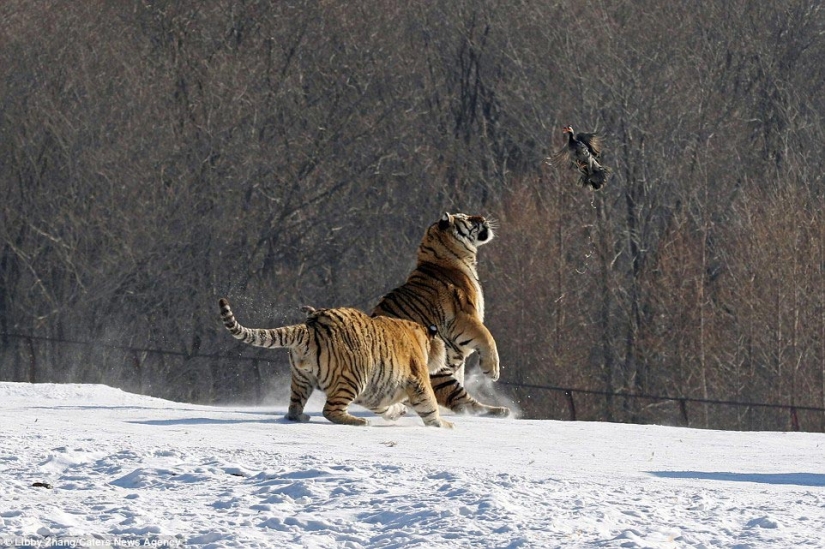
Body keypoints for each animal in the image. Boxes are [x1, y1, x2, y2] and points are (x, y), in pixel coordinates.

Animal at [218, 298, 453, 428]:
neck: (422, 338)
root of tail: (310, 326)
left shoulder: (377, 391)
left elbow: (386, 406)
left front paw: (399, 411)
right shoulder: (418, 380)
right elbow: (430, 405)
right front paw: (443, 425)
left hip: (301, 379)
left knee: (294, 407)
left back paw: (301, 417)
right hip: (353, 378)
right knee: (329, 411)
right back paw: (360, 421)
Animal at [371, 212, 511, 417]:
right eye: (467, 218)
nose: (483, 217)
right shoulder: (466, 317)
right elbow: (487, 338)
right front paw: (491, 370)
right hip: (436, 373)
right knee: (461, 401)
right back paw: (499, 411)